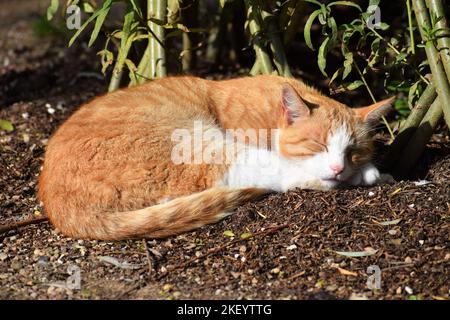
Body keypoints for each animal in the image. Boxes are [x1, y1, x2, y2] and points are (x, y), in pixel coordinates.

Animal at [40, 75, 396, 240]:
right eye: (316, 144)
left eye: (353, 151)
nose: (338, 167)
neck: (269, 112)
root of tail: (58, 204)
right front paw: (368, 173)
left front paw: (365, 169)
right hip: (207, 147)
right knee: (276, 177)